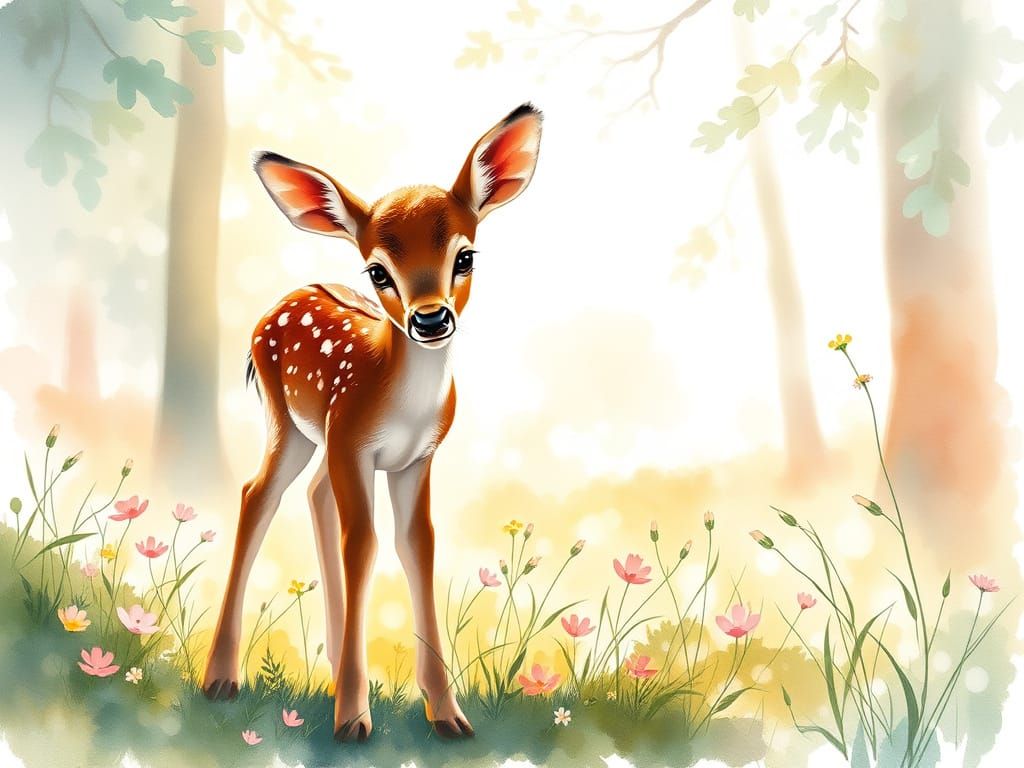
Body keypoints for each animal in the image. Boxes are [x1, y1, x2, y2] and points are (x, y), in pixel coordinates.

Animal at [202, 104, 543, 741]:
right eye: (377, 272)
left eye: (465, 256)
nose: (429, 319)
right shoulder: (353, 442)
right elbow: (362, 544)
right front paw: (353, 721)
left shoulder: (417, 458)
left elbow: (417, 544)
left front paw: (448, 715)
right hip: (289, 421)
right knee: (258, 494)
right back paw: (221, 679)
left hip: (323, 442)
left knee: (312, 495)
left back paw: (333, 671)